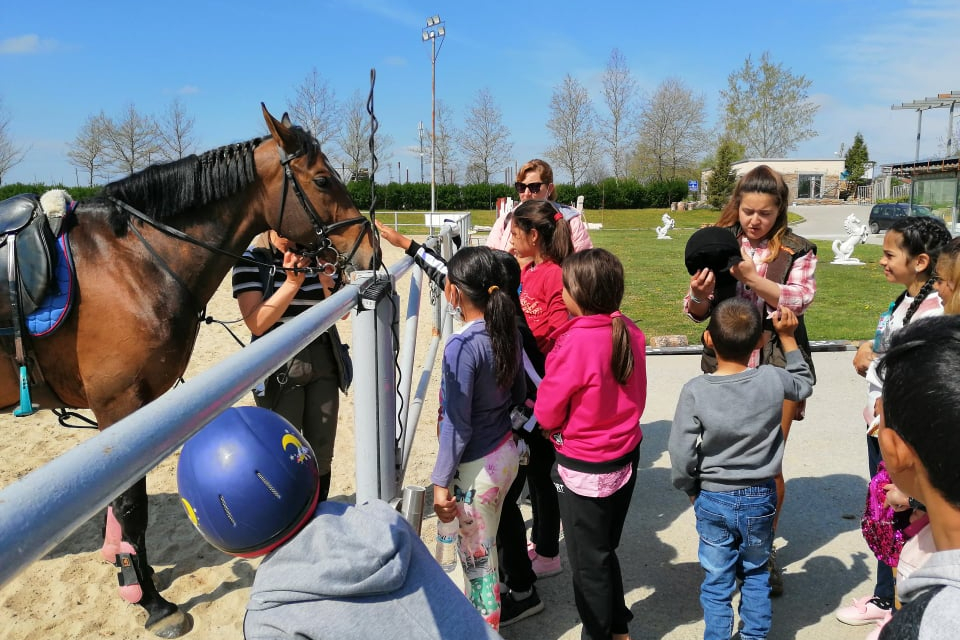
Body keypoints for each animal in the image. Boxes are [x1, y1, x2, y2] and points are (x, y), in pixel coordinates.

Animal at [0, 104, 378, 636]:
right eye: (323, 179)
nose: (371, 250)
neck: (132, 261)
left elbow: (120, 502)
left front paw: (127, 572)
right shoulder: (120, 405)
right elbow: (131, 505)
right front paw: (150, 601)